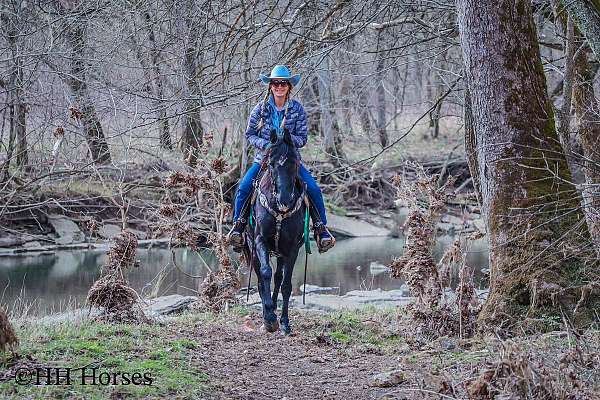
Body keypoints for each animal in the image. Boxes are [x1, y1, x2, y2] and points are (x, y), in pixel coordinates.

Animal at [241, 129, 304, 334]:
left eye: (295, 163)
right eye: (271, 163)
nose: (285, 200)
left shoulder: (292, 248)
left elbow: (286, 284)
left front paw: (284, 322)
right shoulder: (260, 241)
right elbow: (265, 273)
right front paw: (269, 318)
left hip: (281, 252)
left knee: (278, 278)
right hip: (253, 248)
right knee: (262, 279)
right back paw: (267, 313)